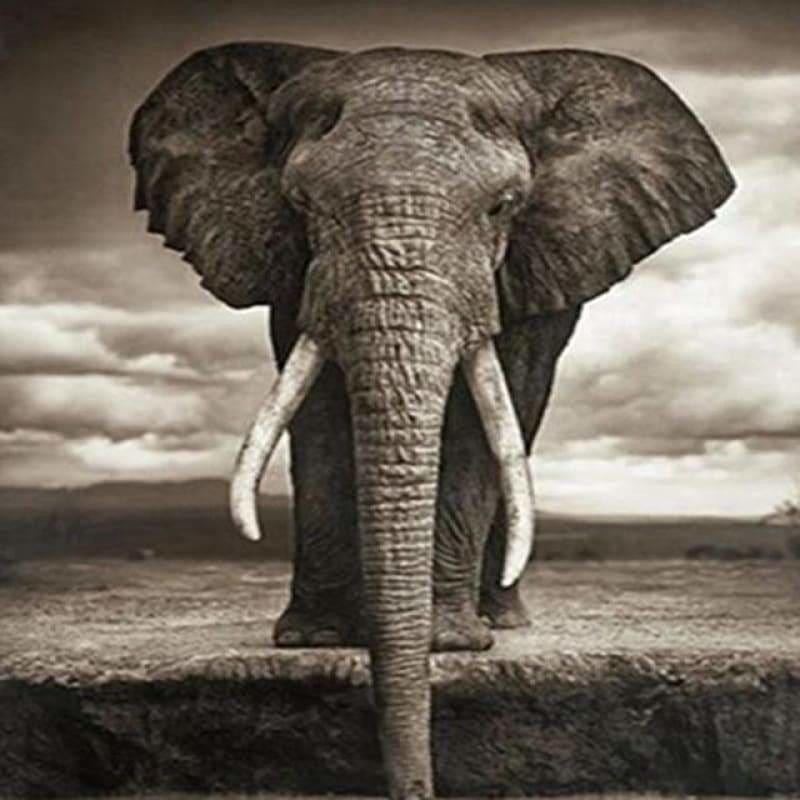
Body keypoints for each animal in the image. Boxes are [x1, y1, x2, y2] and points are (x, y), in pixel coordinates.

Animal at [129, 43, 733, 800]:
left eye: (504, 206)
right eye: (300, 204)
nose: (415, 788)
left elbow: (479, 426)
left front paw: (448, 642)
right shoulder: (293, 271)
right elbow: (319, 412)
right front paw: (317, 641)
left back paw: (499, 619)